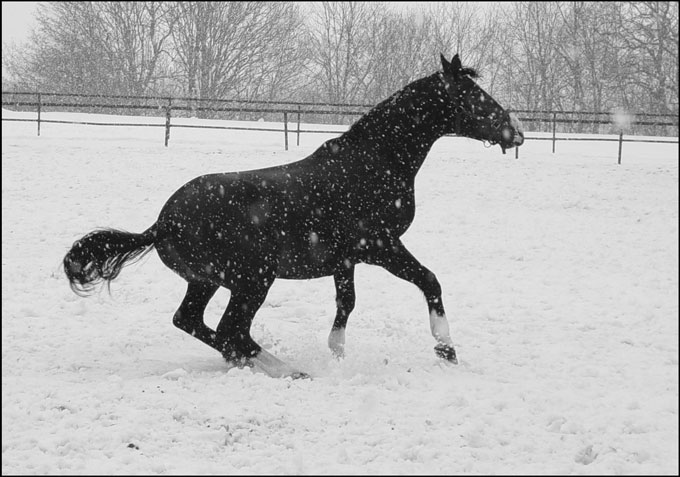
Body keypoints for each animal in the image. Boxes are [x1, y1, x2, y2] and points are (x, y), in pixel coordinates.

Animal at [63, 54, 524, 378]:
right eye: (476, 98)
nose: (515, 132)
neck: (370, 164)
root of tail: (160, 225)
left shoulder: (345, 258)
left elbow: (346, 303)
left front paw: (336, 353)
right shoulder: (379, 246)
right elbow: (429, 280)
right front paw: (447, 350)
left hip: (207, 281)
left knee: (193, 322)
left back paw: (255, 364)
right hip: (253, 278)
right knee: (232, 330)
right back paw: (290, 371)